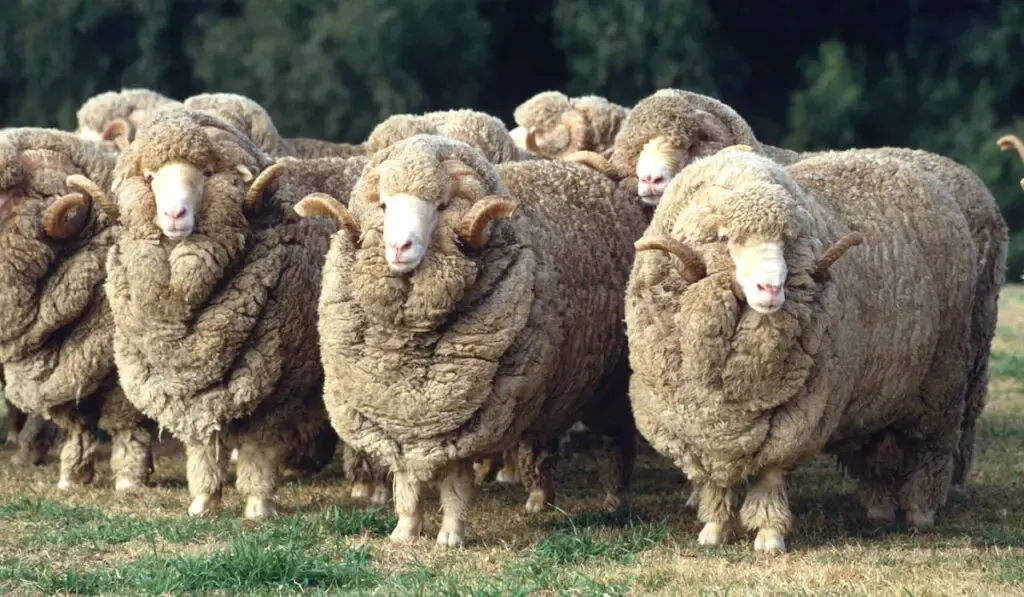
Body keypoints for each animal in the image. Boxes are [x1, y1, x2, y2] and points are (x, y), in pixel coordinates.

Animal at [0, 125, 155, 491]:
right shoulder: (72, 371)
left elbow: (126, 423)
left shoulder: (122, 368)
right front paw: (73, 476)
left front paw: (129, 477)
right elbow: (79, 428)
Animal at [102, 107, 344, 518]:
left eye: (204, 173)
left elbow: (259, 448)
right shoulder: (193, 387)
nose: (175, 214)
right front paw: (203, 502)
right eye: (150, 177)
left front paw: (258, 506)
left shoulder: (276, 385)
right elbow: (203, 445)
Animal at [296, 133, 647, 544]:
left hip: (611, 385)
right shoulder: (400, 420)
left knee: (616, 443)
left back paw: (615, 501)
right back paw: (539, 498)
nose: (399, 248)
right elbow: (407, 484)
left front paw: (450, 535)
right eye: (383, 205)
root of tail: (593, 176)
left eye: (441, 205)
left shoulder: (464, 421)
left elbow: (454, 484)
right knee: (541, 441)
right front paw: (405, 531)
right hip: (548, 389)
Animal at [622, 147, 983, 552]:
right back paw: (878, 509)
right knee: (875, 452)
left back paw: (920, 512)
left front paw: (769, 535)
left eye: (786, 241)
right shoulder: (699, 427)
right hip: (881, 390)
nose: (771, 288)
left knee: (932, 450)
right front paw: (713, 529)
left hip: (943, 379)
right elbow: (714, 482)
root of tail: (905, 165)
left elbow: (769, 476)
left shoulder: (798, 416)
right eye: (725, 238)